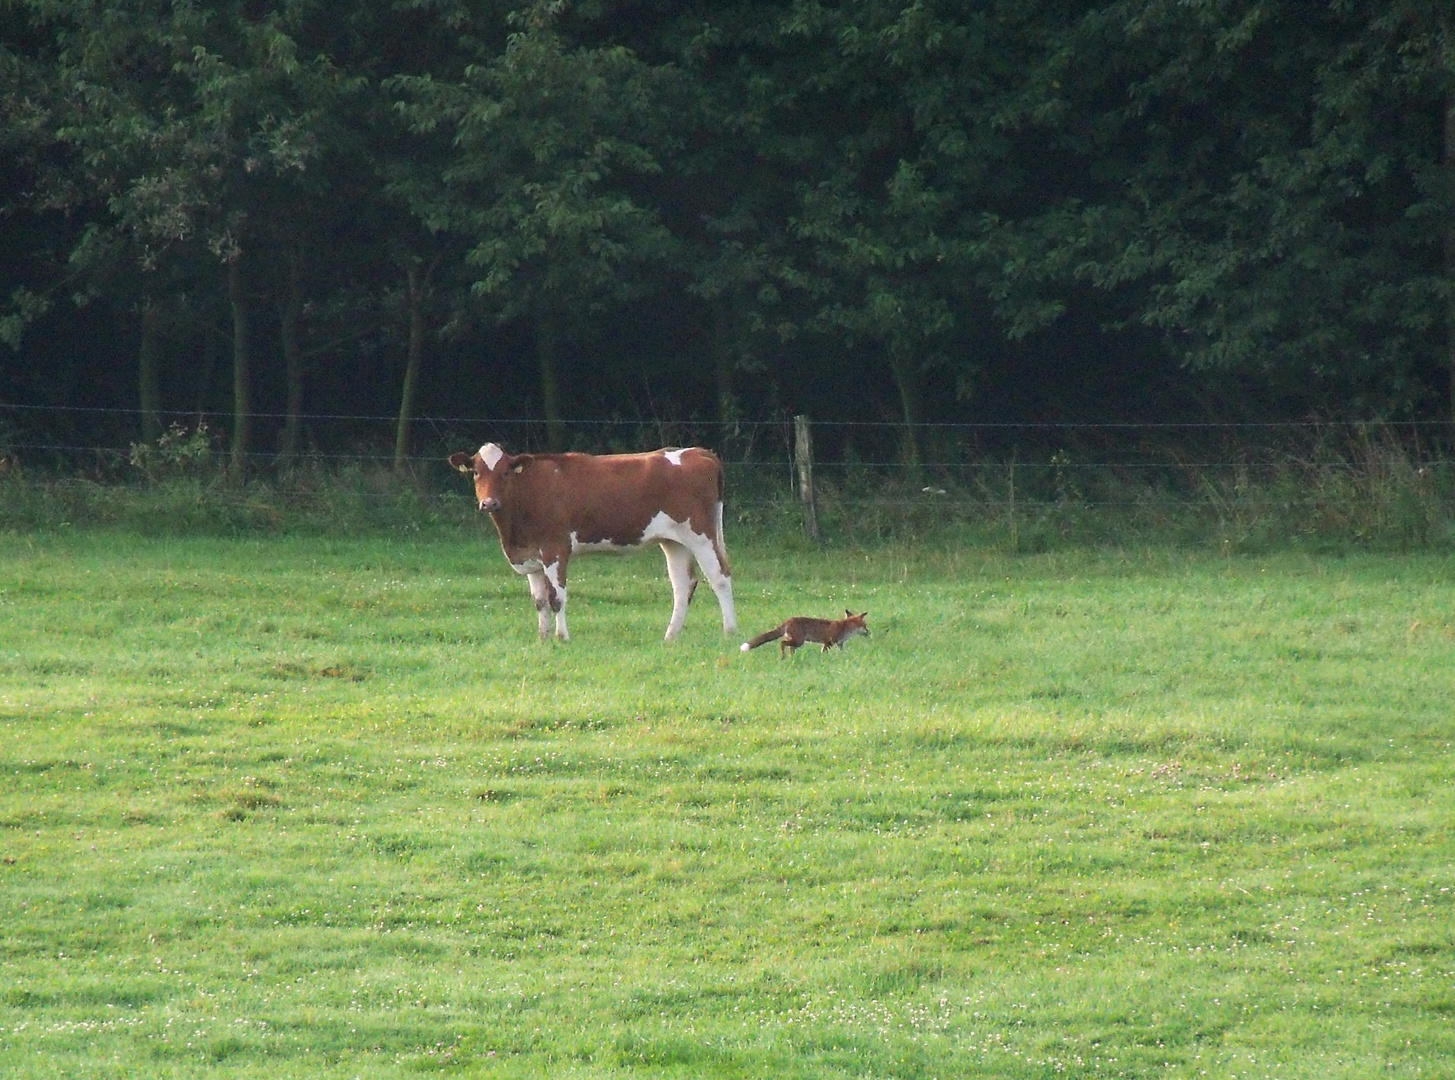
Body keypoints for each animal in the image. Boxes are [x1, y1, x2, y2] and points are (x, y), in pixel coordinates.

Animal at [445, 442, 739, 643]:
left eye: (506, 473)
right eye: (476, 473)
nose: (489, 503)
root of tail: (698, 452)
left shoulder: (555, 549)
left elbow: (557, 597)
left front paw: (562, 637)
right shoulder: (530, 556)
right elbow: (539, 601)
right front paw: (542, 638)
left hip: (700, 535)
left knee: (720, 577)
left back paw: (730, 631)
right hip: (673, 541)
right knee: (683, 585)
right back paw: (670, 636)